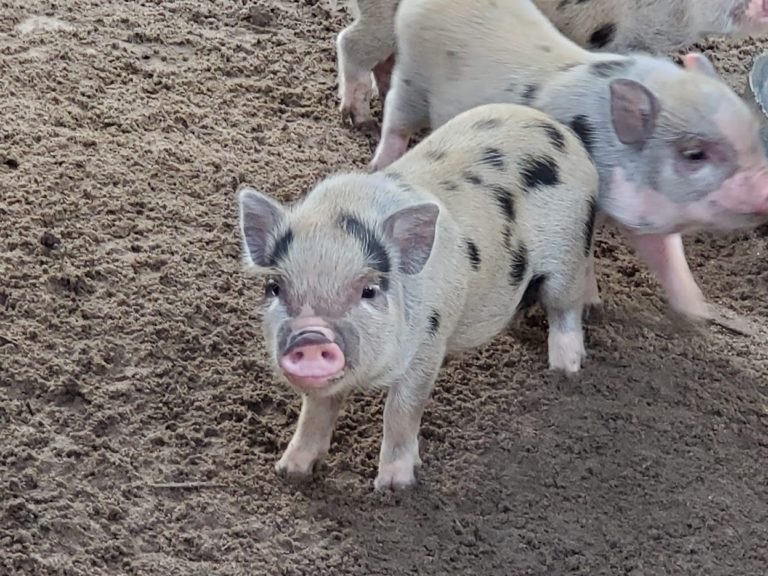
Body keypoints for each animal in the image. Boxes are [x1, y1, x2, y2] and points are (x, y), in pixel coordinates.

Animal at [237, 103, 599, 490]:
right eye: (275, 287)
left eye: (369, 290)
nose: (310, 335)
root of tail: (557, 129)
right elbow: (315, 410)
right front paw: (289, 471)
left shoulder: (429, 343)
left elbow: (401, 411)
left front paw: (394, 486)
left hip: (567, 254)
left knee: (566, 307)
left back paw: (565, 367)